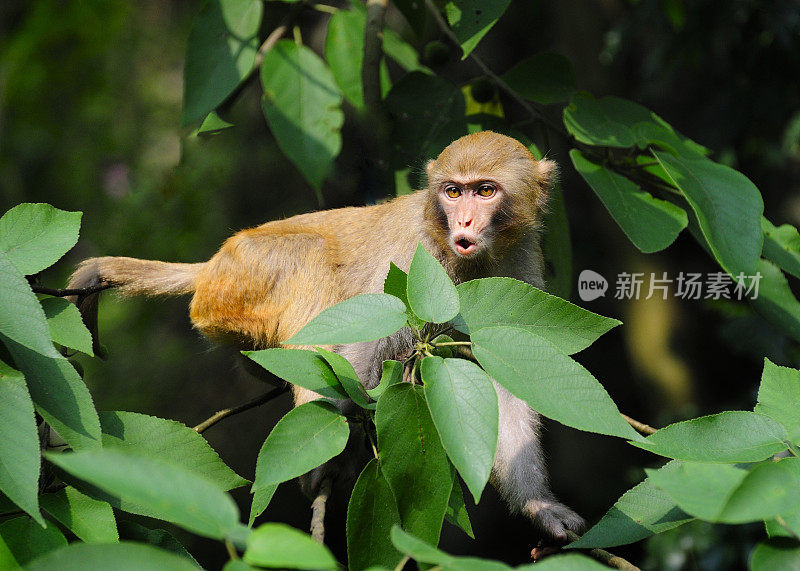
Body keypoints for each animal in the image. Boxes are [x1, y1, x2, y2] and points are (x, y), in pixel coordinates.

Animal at [67, 132, 580, 544]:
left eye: (485, 191)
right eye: (454, 192)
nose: (466, 223)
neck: (469, 260)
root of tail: (211, 266)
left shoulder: (518, 274)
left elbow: (506, 380)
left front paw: (540, 507)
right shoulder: (414, 261)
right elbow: (365, 337)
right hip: (242, 276)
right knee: (310, 264)